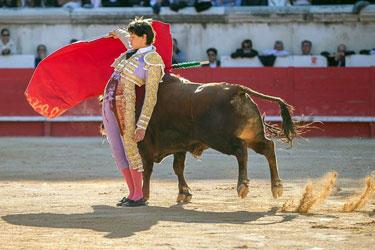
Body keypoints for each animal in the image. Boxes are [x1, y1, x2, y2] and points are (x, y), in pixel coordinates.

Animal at [137, 73, 298, 202]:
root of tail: (235, 89)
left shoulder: (145, 144)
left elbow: (146, 169)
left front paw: (143, 195)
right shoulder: (179, 146)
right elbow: (178, 167)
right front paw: (184, 193)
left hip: (219, 139)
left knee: (241, 149)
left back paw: (242, 185)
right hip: (252, 136)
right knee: (268, 147)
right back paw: (277, 186)